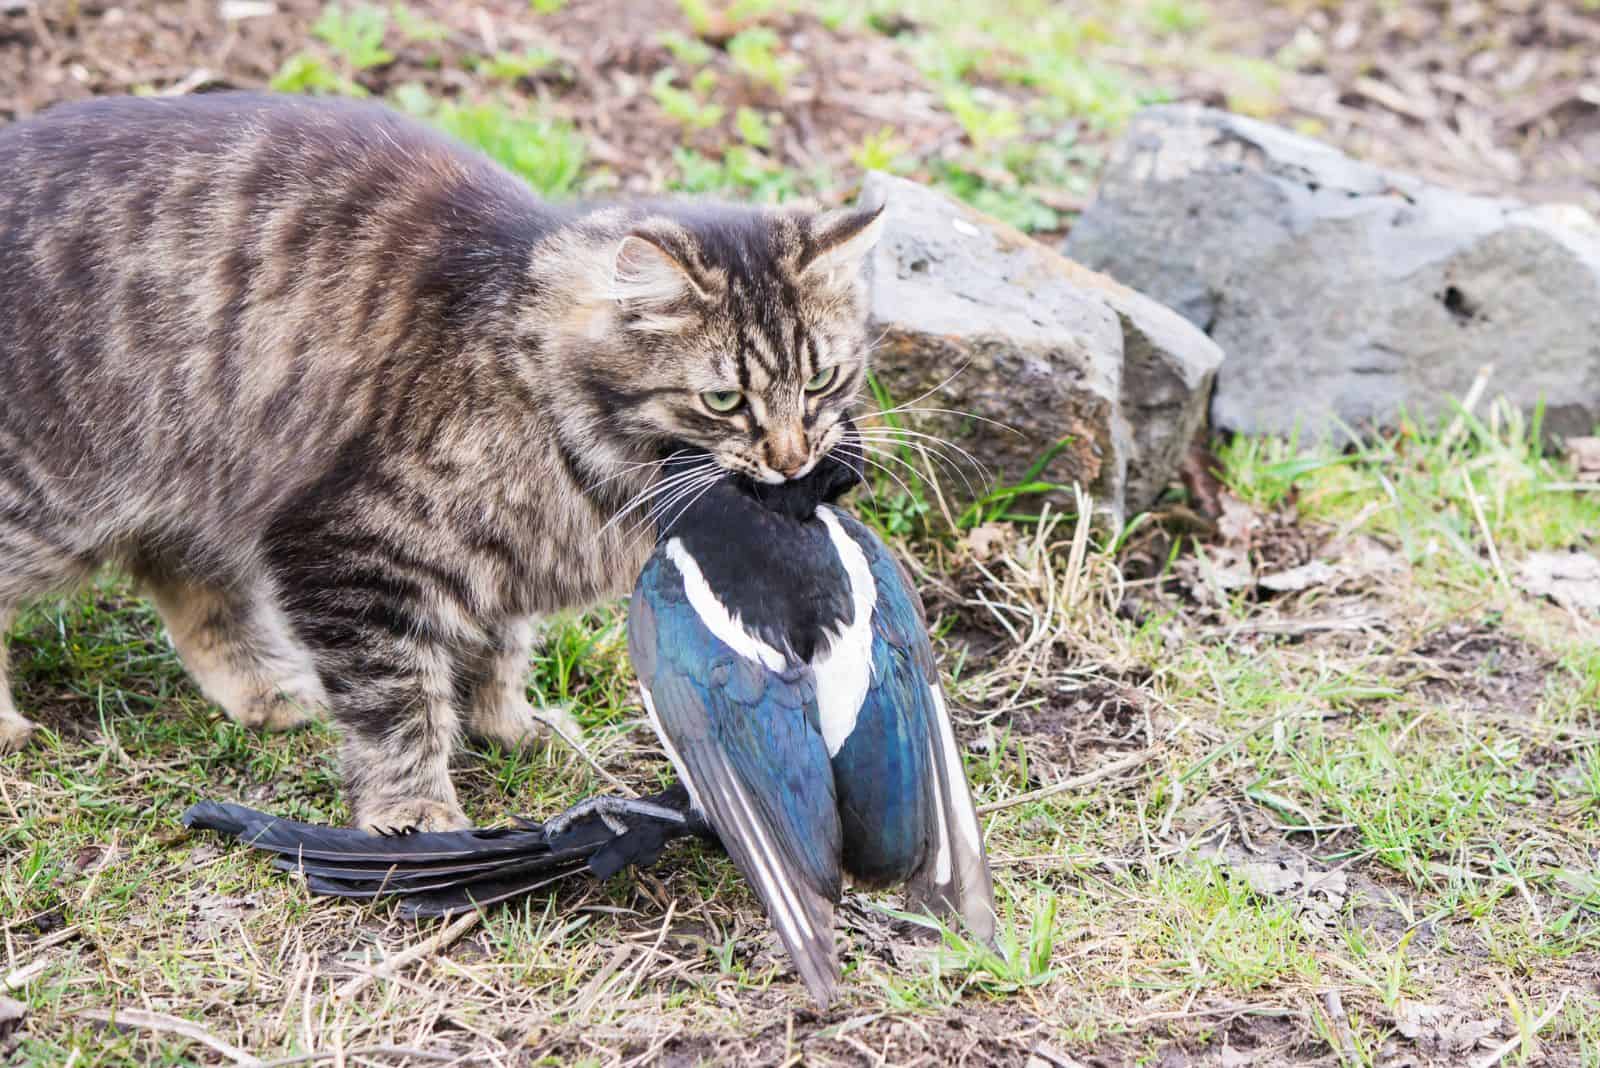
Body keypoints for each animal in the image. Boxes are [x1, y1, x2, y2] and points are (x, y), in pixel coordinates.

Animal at [0, 91, 883, 831]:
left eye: (822, 382)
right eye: (725, 400)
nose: (791, 459)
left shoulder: (501, 567)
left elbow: (497, 652)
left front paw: (508, 726)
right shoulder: (349, 550)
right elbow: (398, 703)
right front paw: (414, 807)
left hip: (201, 480)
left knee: (186, 583)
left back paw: (267, 691)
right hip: (54, 507)